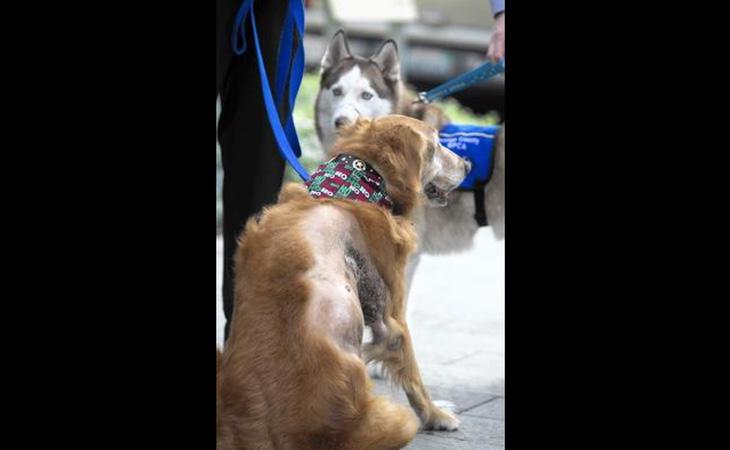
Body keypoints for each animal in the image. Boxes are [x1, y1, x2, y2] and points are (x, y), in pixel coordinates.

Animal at [215, 116, 466, 450]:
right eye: (435, 147)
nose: (467, 165)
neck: (352, 186)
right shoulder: (393, 314)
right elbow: (411, 372)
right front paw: (437, 415)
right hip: (397, 420)